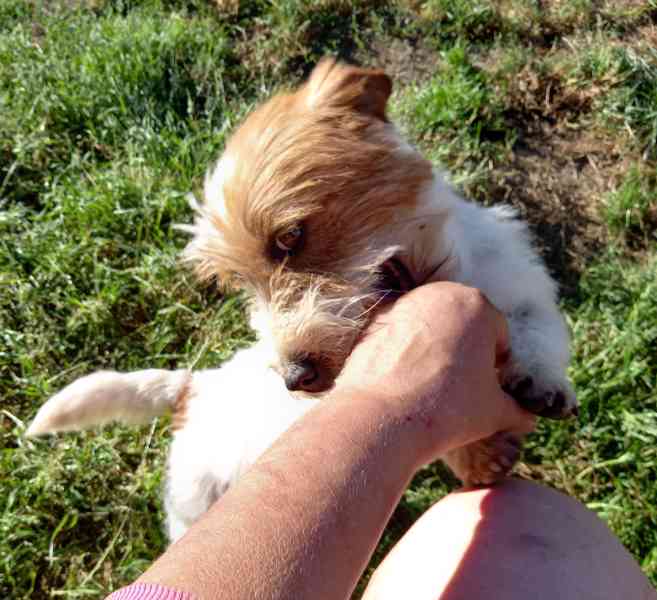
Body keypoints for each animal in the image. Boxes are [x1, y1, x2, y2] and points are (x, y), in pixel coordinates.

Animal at [28, 57, 576, 540]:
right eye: (239, 283)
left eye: (289, 238)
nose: (294, 378)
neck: (454, 270)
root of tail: (195, 386)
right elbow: (457, 435)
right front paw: (482, 458)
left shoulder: (522, 284)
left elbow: (537, 329)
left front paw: (541, 380)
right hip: (193, 503)